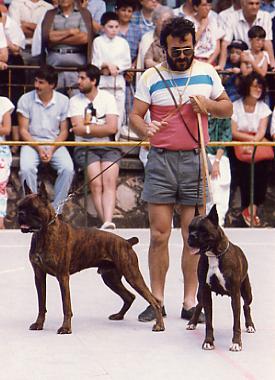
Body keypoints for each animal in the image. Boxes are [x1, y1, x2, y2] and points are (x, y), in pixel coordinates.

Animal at [17, 183, 166, 334]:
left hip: (132, 276)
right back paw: (119, 316)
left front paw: (66, 328)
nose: (20, 214)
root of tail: (127, 242)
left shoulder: (62, 277)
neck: (44, 232)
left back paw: (159, 325)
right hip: (110, 278)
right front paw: (39, 324)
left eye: (32, 209)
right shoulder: (39, 276)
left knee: (154, 301)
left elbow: (66, 306)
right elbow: (41, 305)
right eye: (19, 207)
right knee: (130, 296)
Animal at [187, 206, 256, 352]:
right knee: (198, 304)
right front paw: (208, 342)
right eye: (190, 228)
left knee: (246, 306)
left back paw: (250, 325)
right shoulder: (206, 292)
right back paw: (192, 323)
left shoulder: (235, 294)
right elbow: (209, 322)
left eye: (203, 230)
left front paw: (236, 343)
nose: (191, 236)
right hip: (200, 292)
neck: (214, 255)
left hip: (246, 292)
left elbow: (236, 323)